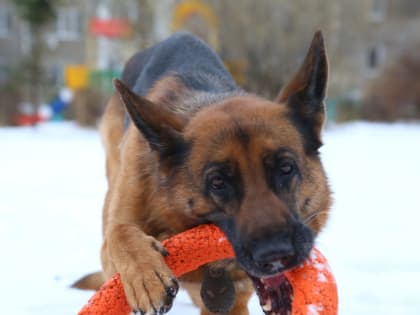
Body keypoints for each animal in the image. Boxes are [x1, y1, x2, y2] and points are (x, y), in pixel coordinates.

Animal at [74, 30, 332, 315]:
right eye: (217, 182)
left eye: (286, 168)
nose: (276, 255)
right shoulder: (113, 244)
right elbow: (120, 233)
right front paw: (145, 275)